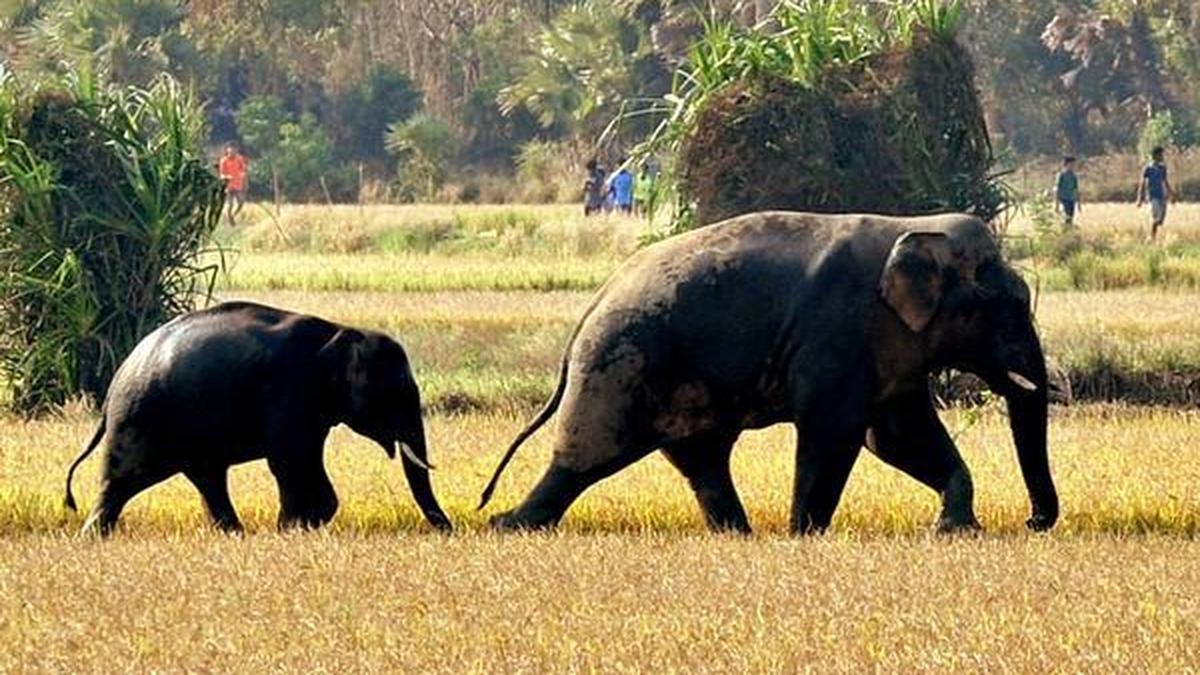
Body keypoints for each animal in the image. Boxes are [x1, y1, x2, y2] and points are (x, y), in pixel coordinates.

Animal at [64, 301, 452, 535]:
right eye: (397, 392)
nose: (449, 530)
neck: (339, 332)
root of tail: (116, 381)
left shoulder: (313, 408)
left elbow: (305, 458)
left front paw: (305, 524)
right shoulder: (289, 390)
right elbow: (289, 460)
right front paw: (293, 527)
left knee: (208, 478)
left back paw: (233, 533)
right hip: (140, 422)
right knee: (121, 481)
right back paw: (93, 536)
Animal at [478, 211, 1058, 534]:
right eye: (1006, 305)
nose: (1032, 522)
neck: (914, 228)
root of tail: (592, 305)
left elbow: (897, 434)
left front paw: (957, 530)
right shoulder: (837, 332)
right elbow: (836, 430)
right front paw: (804, 533)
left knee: (702, 461)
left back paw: (739, 533)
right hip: (620, 366)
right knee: (587, 456)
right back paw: (509, 526)